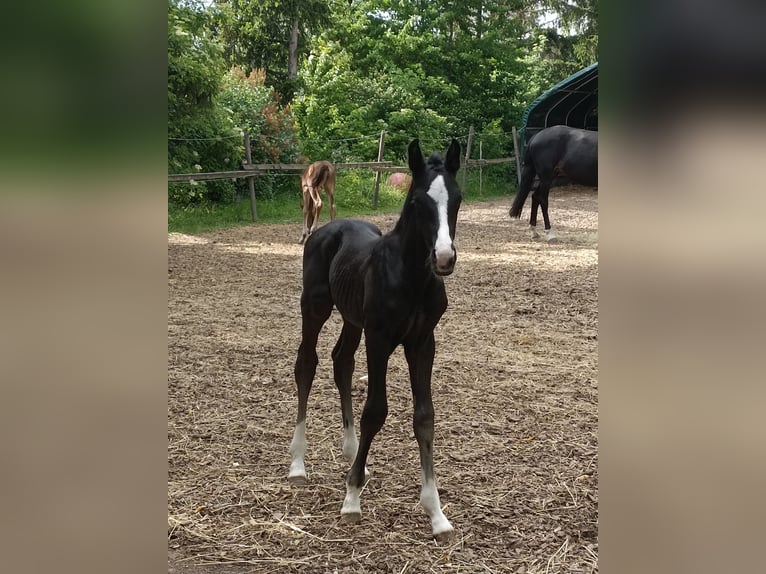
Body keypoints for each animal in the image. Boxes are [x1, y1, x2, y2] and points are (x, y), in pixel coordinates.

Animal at [288, 138, 463, 541]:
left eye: (458, 198)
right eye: (417, 202)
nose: (444, 258)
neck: (412, 276)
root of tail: (327, 229)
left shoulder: (422, 342)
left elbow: (425, 416)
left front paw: (437, 514)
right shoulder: (380, 338)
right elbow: (375, 411)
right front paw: (352, 498)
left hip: (353, 320)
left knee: (341, 361)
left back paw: (354, 455)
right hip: (315, 308)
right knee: (307, 364)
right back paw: (298, 464)